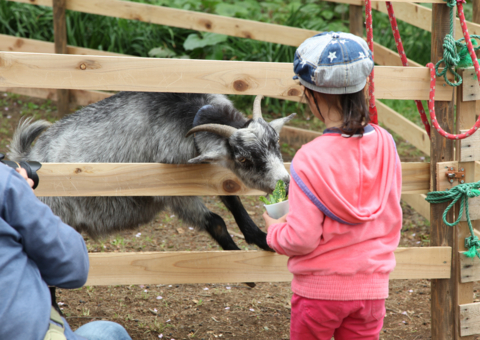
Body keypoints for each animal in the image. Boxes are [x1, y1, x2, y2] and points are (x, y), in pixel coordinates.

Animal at [10, 91, 296, 251]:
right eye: (244, 159)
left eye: (276, 143)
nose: (286, 183)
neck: (184, 114)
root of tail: (28, 158)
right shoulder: (172, 190)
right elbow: (216, 221)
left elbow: (233, 201)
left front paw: (260, 239)